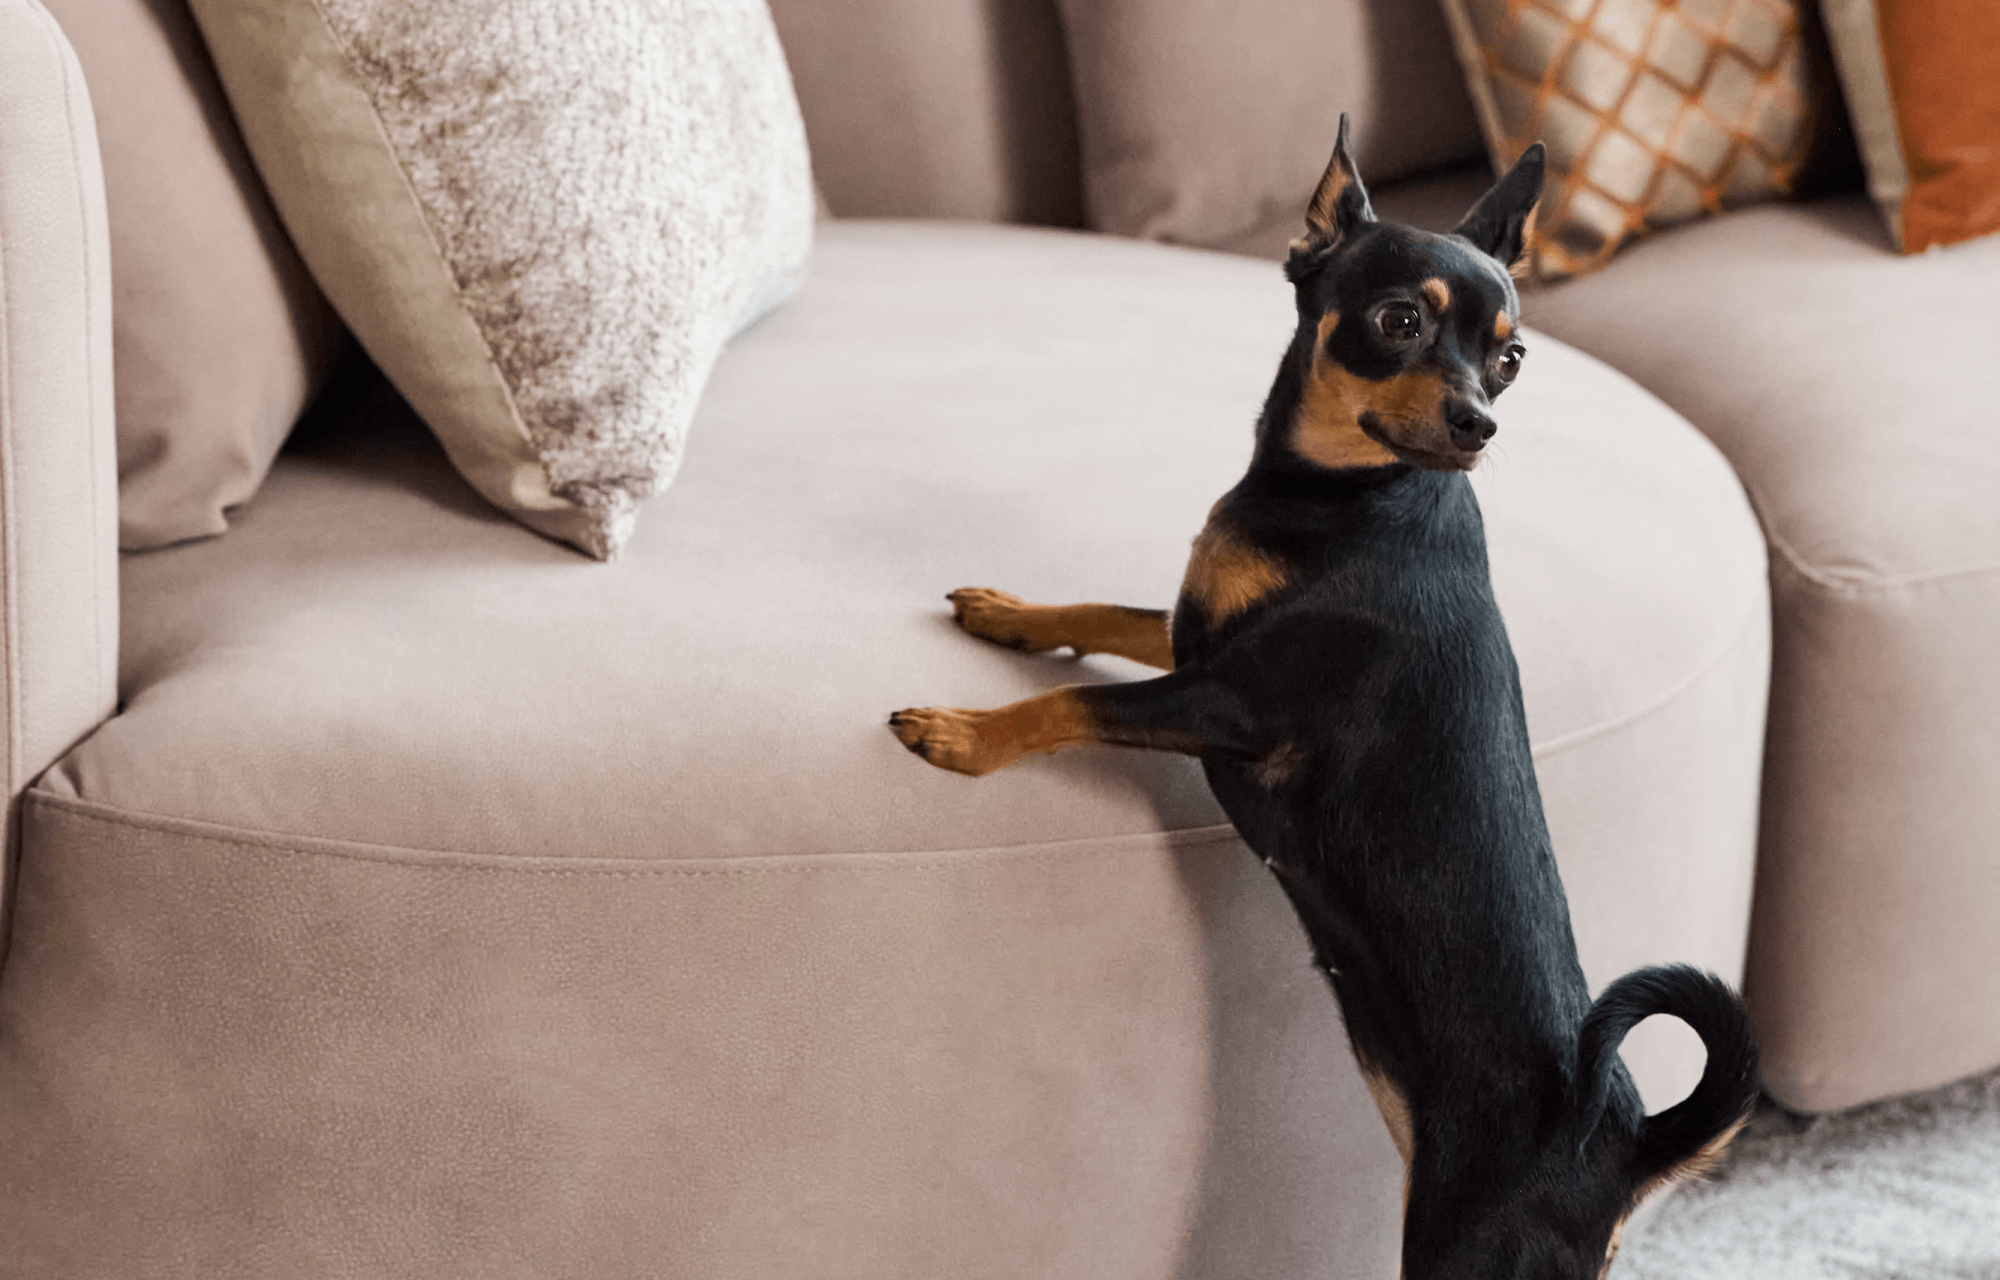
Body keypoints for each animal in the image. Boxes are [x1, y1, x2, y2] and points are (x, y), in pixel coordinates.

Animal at [887, 118, 1758, 1279]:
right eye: (1399, 322)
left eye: (1509, 359)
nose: (1478, 422)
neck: (1345, 496)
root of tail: (1628, 1144)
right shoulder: (1199, 640)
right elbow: (1107, 613)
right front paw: (1010, 613)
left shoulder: (1231, 707)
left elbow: (1070, 704)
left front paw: (961, 731)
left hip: (1462, 1247)